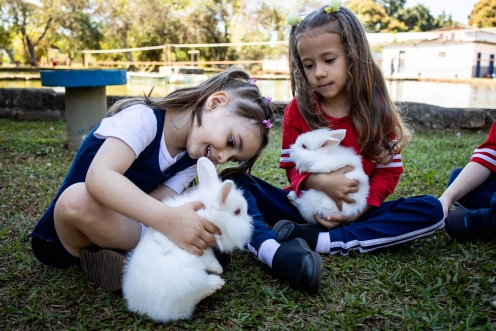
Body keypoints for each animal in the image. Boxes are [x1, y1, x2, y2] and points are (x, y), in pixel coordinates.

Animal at [120, 158, 252, 324]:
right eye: (237, 212)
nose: (249, 225)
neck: (209, 214)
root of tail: (142, 308)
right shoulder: (199, 247)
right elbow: (209, 260)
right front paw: (218, 270)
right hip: (190, 278)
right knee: (199, 291)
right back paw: (216, 283)